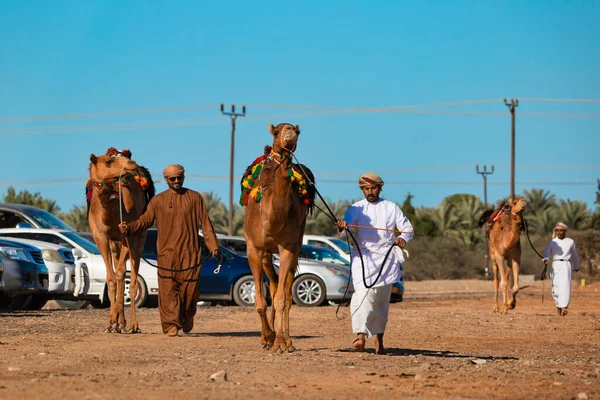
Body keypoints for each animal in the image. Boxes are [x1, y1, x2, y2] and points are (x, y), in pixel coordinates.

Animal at [88, 147, 157, 332]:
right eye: (108, 161)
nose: (132, 164)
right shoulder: (100, 237)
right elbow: (111, 278)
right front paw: (111, 322)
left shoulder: (127, 234)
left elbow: (120, 274)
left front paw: (116, 320)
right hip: (115, 243)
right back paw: (121, 322)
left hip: (139, 237)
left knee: (131, 279)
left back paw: (132, 324)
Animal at [241, 122, 316, 354]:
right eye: (276, 132)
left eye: (297, 131)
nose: (291, 130)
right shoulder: (253, 249)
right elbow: (260, 300)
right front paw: (267, 336)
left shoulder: (288, 248)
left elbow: (283, 298)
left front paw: (280, 342)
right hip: (266, 255)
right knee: (273, 287)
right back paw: (269, 336)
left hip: (296, 246)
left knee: (285, 293)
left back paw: (287, 341)